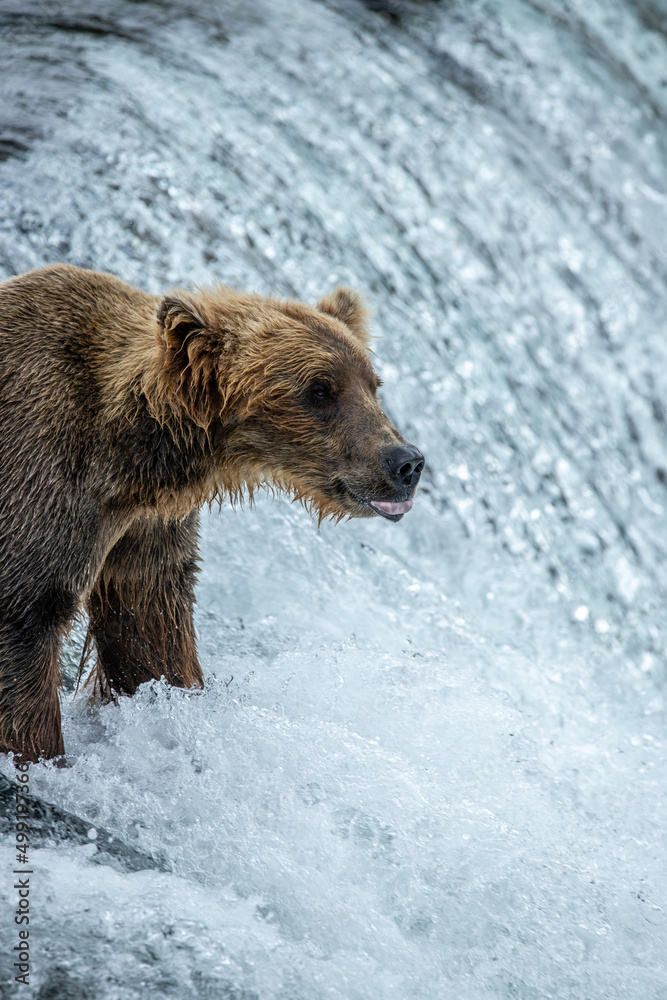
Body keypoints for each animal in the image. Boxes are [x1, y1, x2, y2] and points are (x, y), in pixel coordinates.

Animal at [0, 264, 424, 762]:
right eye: (320, 389)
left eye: (373, 384)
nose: (406, 462)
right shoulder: (43, 480)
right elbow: (26, 624)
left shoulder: (145, 527)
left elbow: (150, 628)